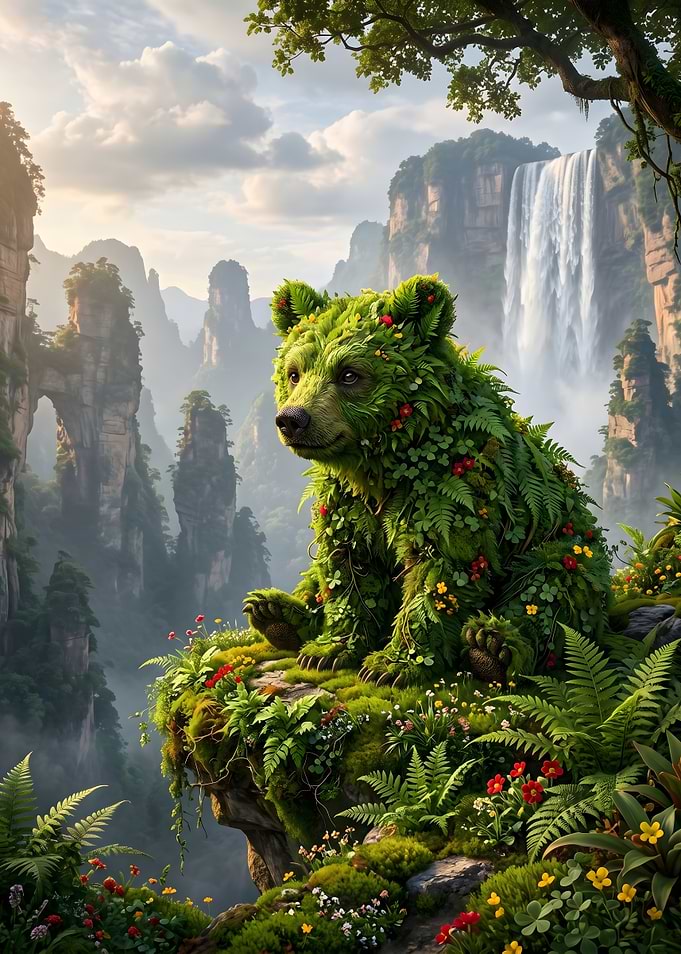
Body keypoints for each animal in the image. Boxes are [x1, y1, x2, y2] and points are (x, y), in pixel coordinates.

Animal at [243, 275, 610, 686]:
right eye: (294, 373)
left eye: (349, 374)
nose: (292, 419)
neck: (379, 467)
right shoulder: (346, 503)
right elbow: (347, 568)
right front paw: (329, 649)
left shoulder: (452, 490)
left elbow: (440, 572)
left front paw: (392, 665)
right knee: (312, 580)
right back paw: (274, 613)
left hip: (565, 547)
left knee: (549, 587)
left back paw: (491, 646)